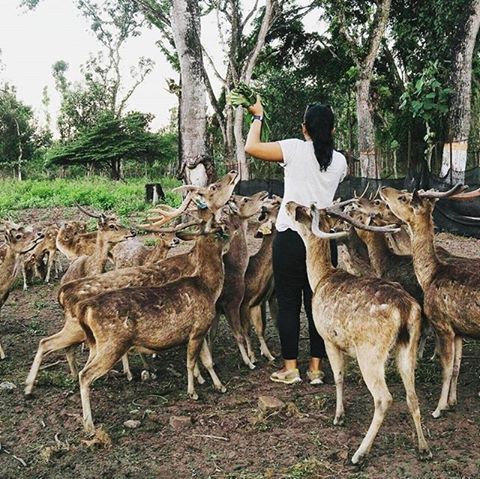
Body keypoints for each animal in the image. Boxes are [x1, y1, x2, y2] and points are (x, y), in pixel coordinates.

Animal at [25, 171, 239, 396]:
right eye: (213, 187)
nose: (232, 173)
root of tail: (62, 293)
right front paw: (198, 379)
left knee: (60, 347)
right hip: (78, 328)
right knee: (53, 345)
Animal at [284, 200, 432, 464]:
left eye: (301, 210)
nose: (289, 203)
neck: (320, 278)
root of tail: (405, 309)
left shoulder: (328, 337)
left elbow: (338, 376)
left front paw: (338, 416)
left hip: (370, 352)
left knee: (384, 398)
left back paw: (359, 454)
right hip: (407, 347)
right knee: (412, 396)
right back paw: (424, 449)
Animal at [378, 186, 480, 418]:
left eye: (403, 197)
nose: (383, 189)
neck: (429, 276)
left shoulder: (441, 324)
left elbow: (446, 368)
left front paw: (438, 408)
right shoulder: (458, 330)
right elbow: (456, 367)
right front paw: (452, 401)